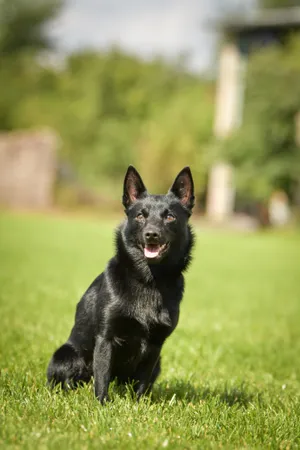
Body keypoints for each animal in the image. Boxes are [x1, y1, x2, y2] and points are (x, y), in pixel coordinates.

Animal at [47, 163, 195, 402]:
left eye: (170, 217)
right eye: (140, 216)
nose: (151, 234)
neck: (149, 281)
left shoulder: (155, 346)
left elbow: (142, 383)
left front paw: (138, 405)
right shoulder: (106, 338)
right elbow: (102, 378)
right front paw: (101, 405)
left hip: (158, 364)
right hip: (67, 355)